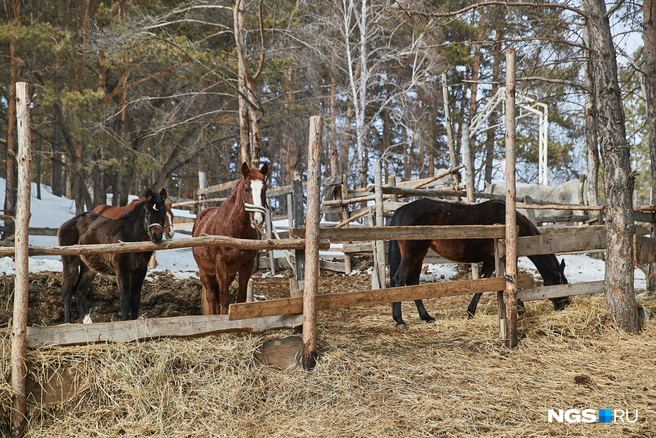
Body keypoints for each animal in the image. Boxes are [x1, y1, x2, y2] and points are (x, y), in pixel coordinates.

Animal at [58, 186, 169, 324]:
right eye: (147, 212)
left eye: (164, 212)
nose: (157, 236)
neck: (131, 238)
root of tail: (67, 223)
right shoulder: (122, 269)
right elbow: (125, 298)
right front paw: (126, 322)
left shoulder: (140, 270)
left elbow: (135, 299)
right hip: (70, 261)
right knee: (67, 291)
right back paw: (67, 322)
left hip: (89, 267)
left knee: (79, 291)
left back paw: (88, 322)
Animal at [192, 161, 270, 314]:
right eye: (246, 189)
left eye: (264, 189)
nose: (258, 219)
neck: (235, 232)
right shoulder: (221, 264)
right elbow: (224, 298)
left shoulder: (246, 265)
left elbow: (240, 298)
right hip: (205, 272)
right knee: (211, 296)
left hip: (230, 273)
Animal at [390, 198, 568, 328]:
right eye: (562, 282)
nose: (565, 305)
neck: (511, 225)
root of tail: (402, 210)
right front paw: (520, 310)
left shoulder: (490, 261)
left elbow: (483, 284)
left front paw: (470, 312)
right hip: (413, 254)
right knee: (399, 279)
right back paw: (400, 321)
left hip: (420, 254)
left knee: (413, 282)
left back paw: (426, 317)